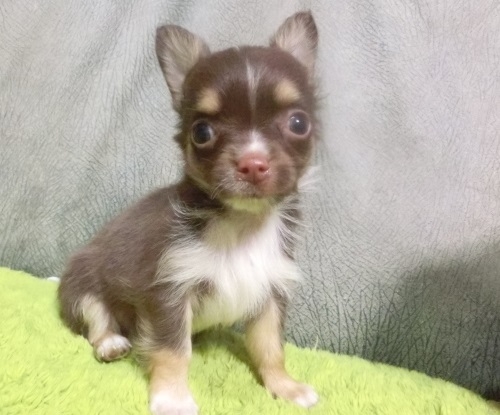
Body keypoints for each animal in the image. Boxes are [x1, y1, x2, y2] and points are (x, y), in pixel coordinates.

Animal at [58, 11, 319, 415]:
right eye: (202, 132)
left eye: (298, 123)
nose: (253, 163)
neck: (241, 223)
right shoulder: (169, 291)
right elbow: (173, 350)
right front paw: (172, 397)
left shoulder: (269, 294)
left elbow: (269, 348)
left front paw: (285, 387)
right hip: (81, 284)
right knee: (96, 318)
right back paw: (110, 343)